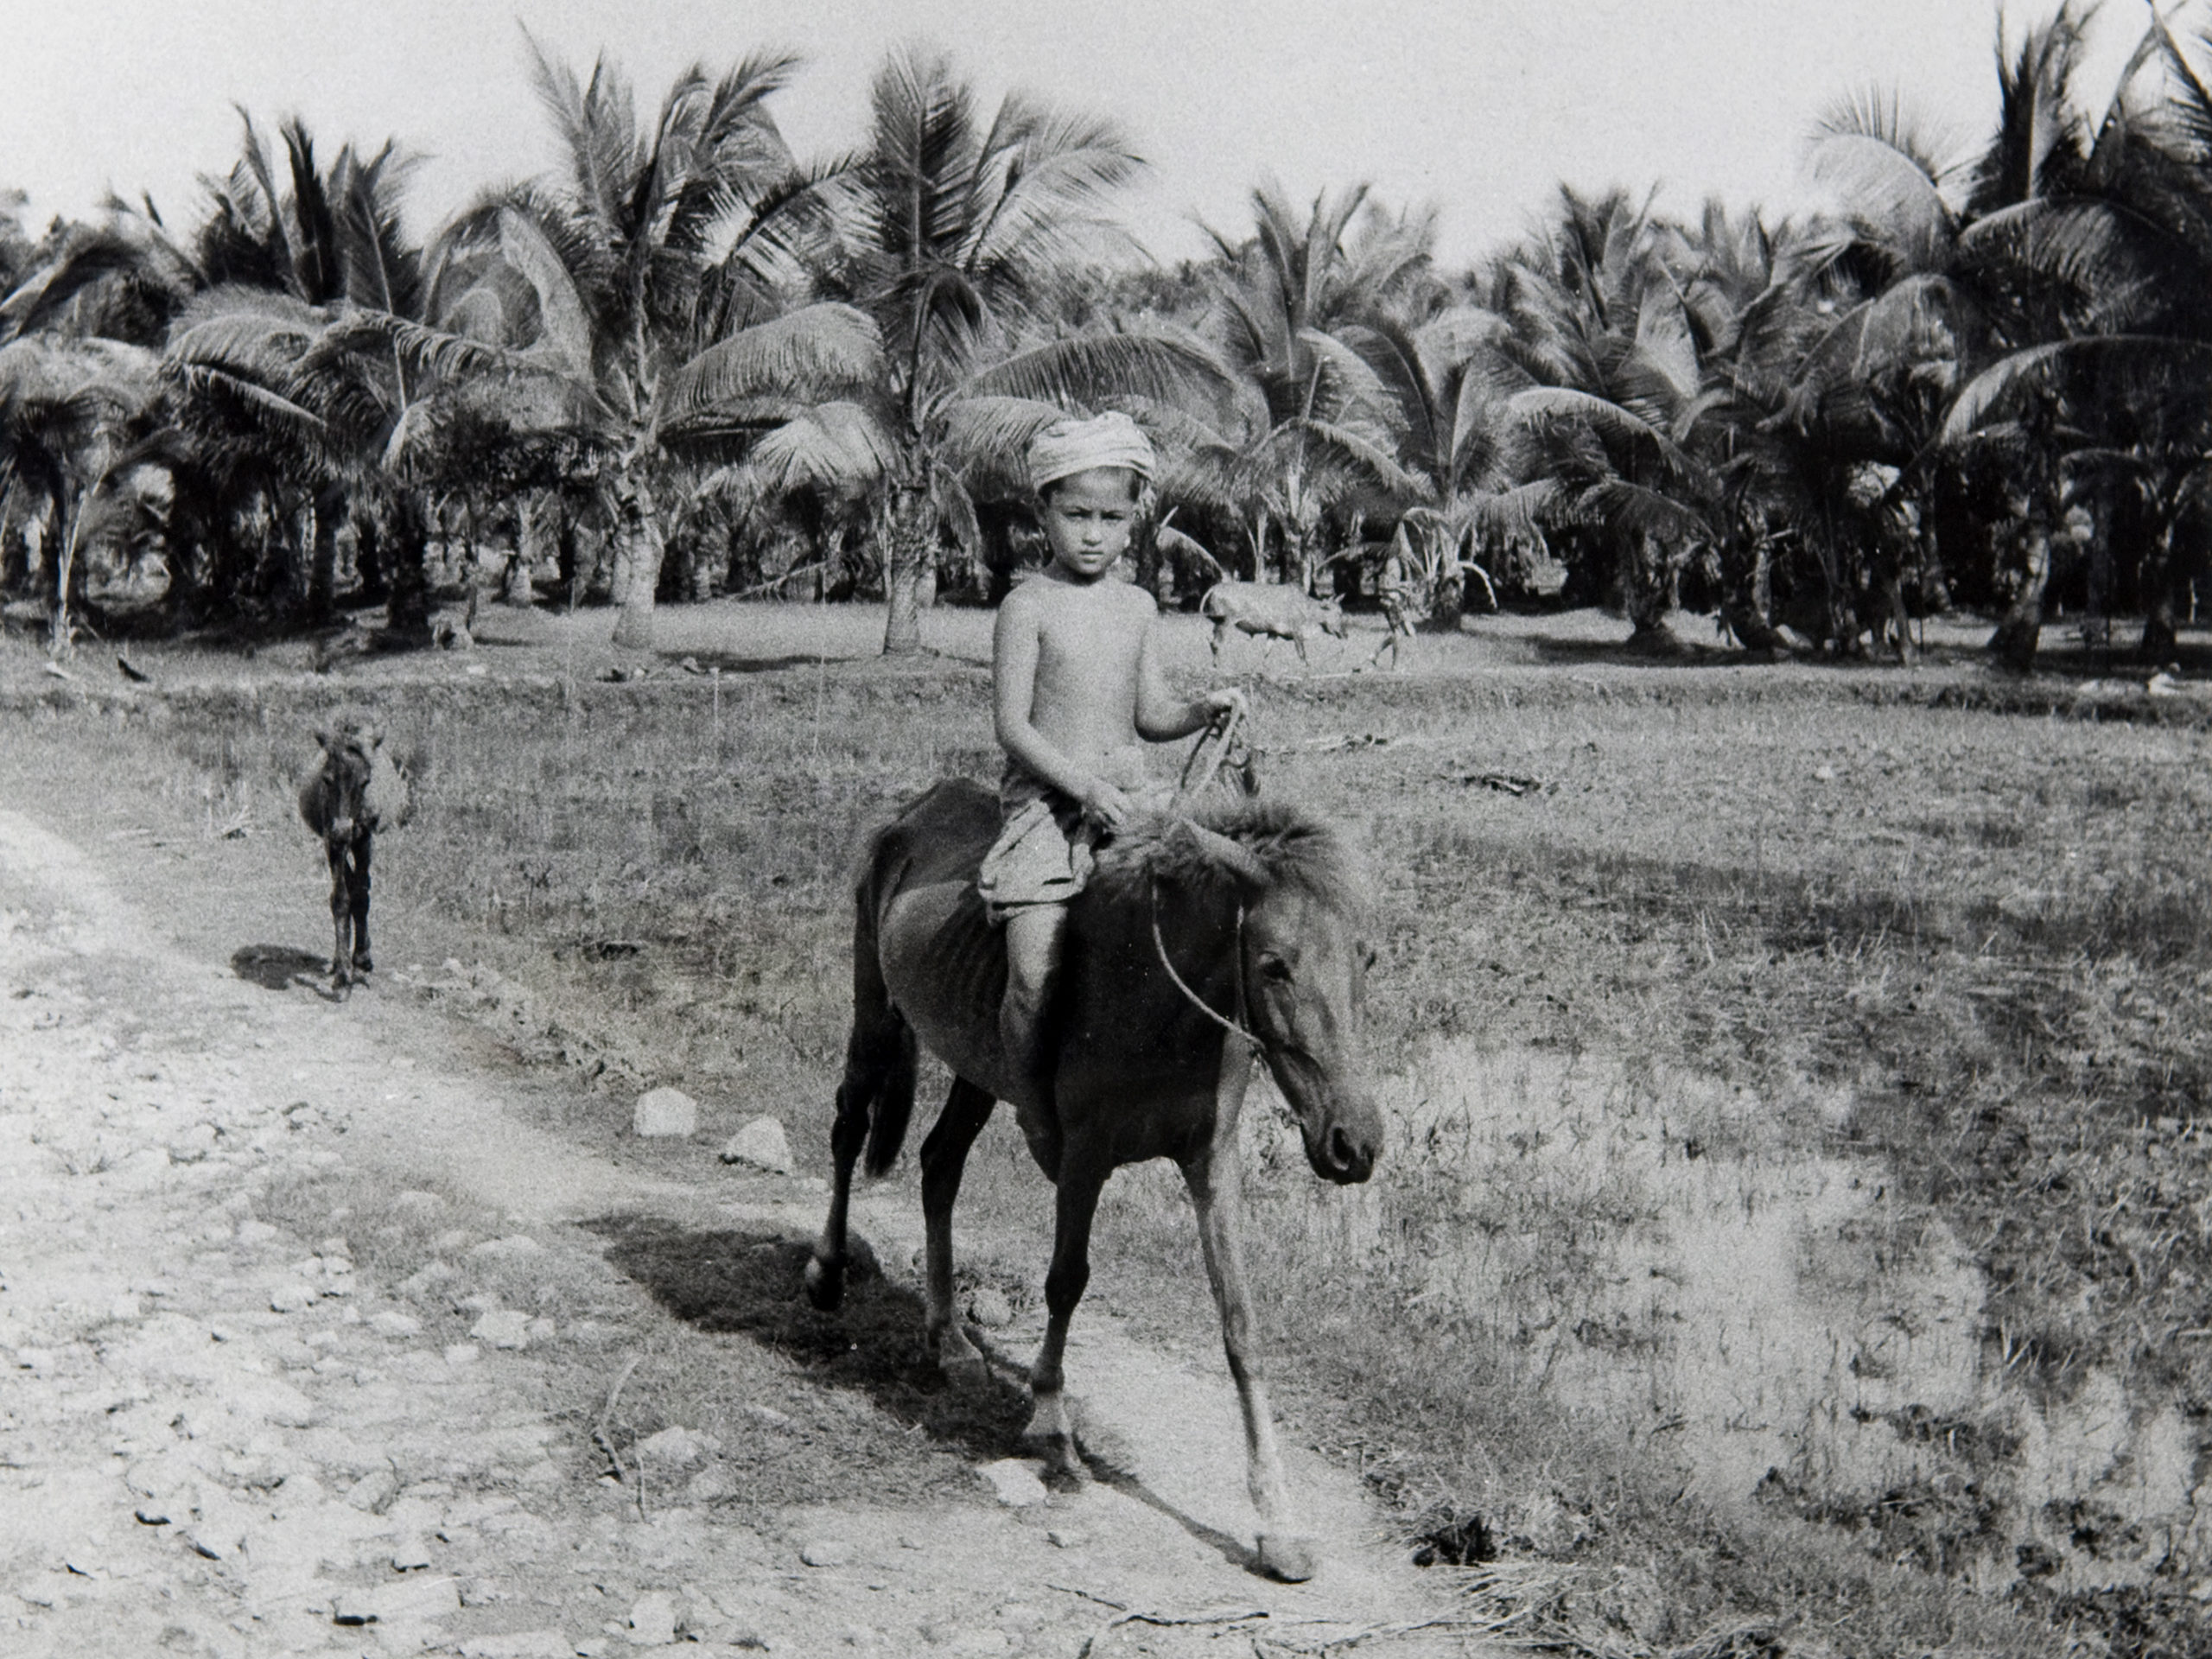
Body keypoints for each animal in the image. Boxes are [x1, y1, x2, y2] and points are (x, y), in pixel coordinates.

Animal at [796, 779, 1380, 1583]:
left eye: (1367, 959)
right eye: (1272, 966)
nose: (1355, 1144)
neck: (1156, 997)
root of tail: (914, 811)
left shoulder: (1212, 1163)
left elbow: (1240, 1323)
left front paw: (1277, 1521)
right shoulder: (1085, 1155)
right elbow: (1066, 1280)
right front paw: (1050, 1422)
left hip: (977, 1069)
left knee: (939, 1166)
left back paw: (950, 1339)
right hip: (874, 1011)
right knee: (850, 1128)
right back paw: (827, 1272)